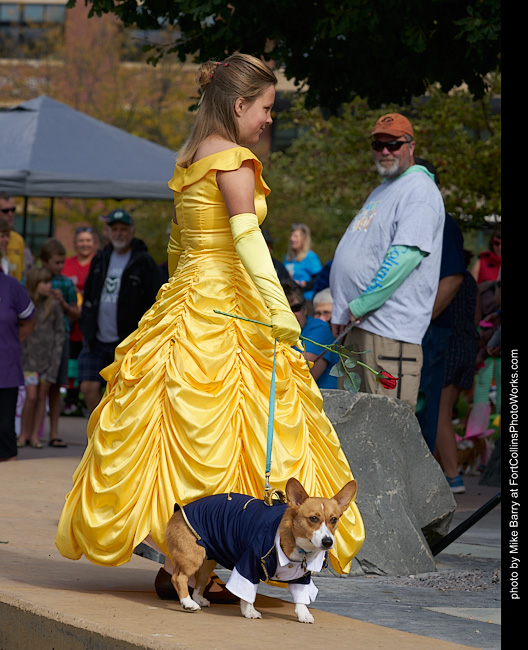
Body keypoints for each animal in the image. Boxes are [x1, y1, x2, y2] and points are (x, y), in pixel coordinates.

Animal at [165, 477, 357, 623]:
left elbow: (301, 598)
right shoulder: (249, 564)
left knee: (200, 580)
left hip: (207, 559)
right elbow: (248, 592)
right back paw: (188, 603)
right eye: (313, 518)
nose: (327, 542)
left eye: (334, 519)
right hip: (192, 556)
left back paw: (197, 599)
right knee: (178, 577)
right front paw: (249, 611)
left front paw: (304, 614)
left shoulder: (302, 576)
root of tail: (177, 511)